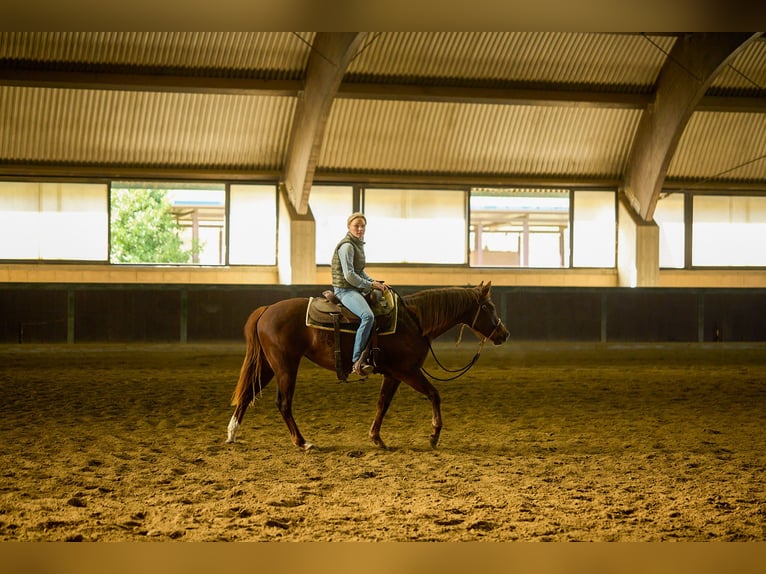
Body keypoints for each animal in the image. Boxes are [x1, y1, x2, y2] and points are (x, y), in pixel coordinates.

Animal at [226, 281, 509, 450]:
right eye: (488, 306)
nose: (504, 334)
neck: (414, 321)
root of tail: (267, 310)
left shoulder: (393, 374)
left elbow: (382, 404)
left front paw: (376, 438)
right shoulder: (407, 371)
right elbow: (434, 394)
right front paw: (434, 435)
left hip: (268, 365)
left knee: (248, 394)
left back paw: (232, 433)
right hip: (286, 366)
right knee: (283, 403)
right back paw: (302, 442)